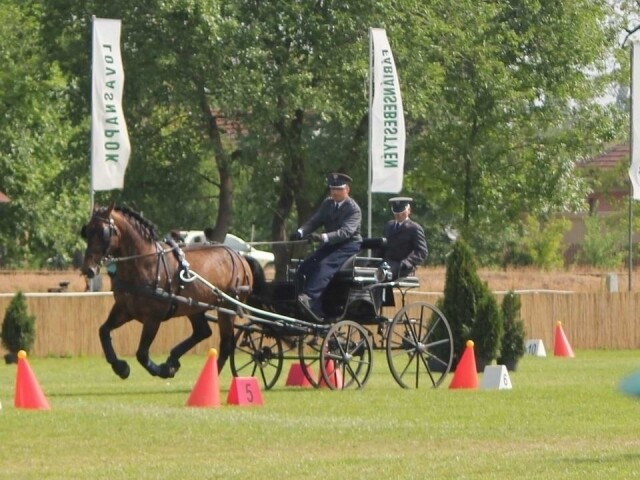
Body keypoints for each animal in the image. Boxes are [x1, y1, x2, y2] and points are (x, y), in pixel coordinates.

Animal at [82, 202, 255, 378]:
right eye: (87, 231)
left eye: (103, 233)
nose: (88, 269)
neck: (145, 263)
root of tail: (239, 256)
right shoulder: (124, 309)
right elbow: (103, 331)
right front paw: (120, 367)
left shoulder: (153, 318)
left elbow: (142, 353)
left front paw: (163, 370)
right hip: (194, 307)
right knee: (203, 332)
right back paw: (173, 359)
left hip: (228, 308)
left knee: (225, 345)